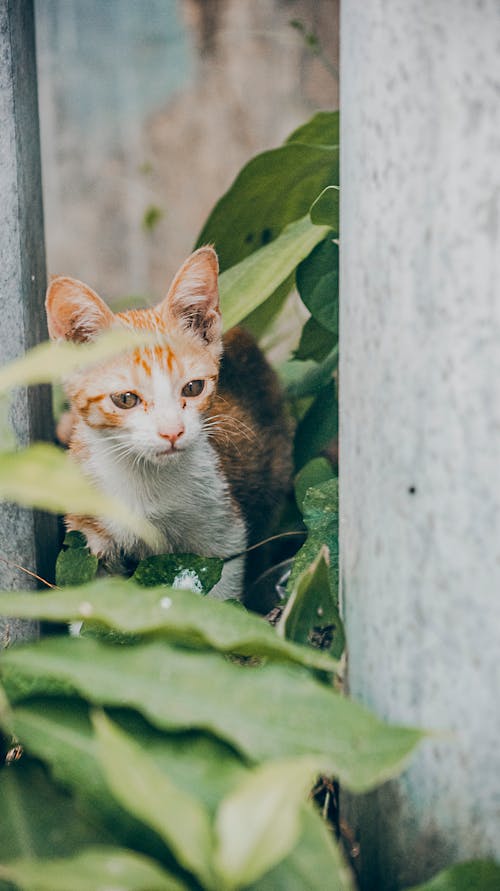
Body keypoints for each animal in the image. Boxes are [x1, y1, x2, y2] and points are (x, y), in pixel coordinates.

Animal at [46, 247, 292, 604]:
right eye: (125, 399)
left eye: (193, 388)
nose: (172, 431)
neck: (146, 481)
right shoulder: (89, 538)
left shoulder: (223, 533)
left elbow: (219, 593)